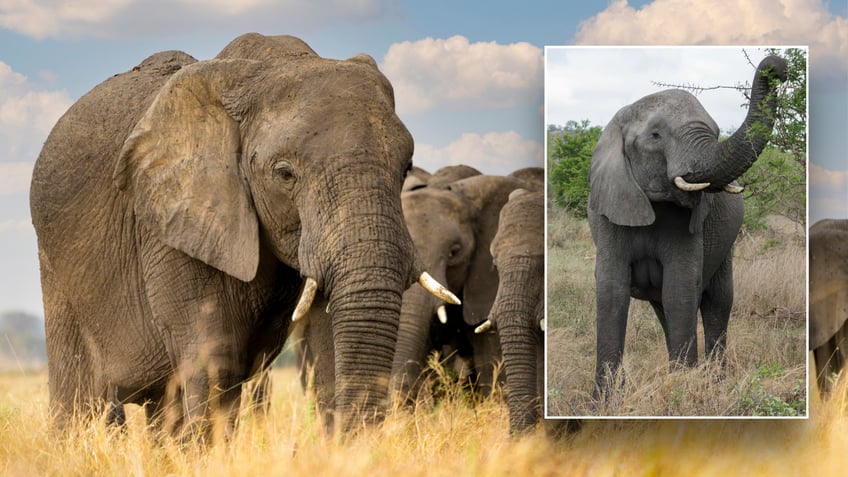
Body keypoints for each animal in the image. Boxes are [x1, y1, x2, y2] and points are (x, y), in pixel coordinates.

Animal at [28, 32, 458, 436]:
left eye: (406, 167)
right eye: (285, 174)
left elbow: (329, 345)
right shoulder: (170, 221)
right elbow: (214, 358)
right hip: (59, 276)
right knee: (80, 399)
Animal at [584, 54, 788, 398]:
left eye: (717, 131)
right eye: (655, 135)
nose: (779, 67)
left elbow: (681, 288)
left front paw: (681, 390)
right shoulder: (609, 213)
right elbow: (612, 291)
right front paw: (604, 402)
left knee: (717, 302)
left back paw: (716, 381)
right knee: (665, 307)